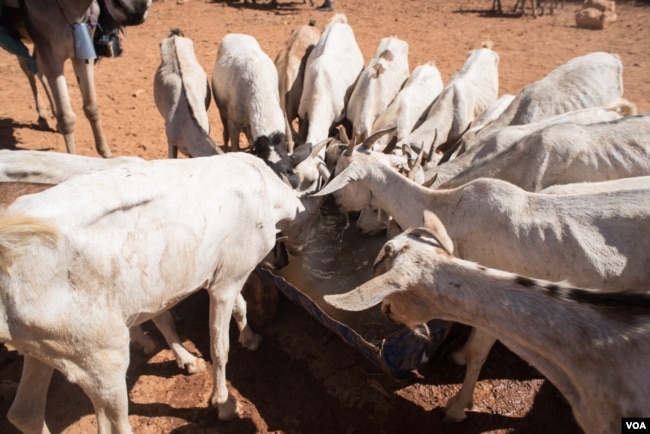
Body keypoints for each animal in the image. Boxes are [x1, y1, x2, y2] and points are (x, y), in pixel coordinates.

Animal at [1, 153, 320, 430]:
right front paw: (223, 403)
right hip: (100, 357)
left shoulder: (199, 280)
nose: (285, 260)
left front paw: (247, 340)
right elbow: (220, 346)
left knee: (25, 414)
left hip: (47, 346)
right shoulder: (225, 282)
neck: (264, 185)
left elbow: (227, 310)